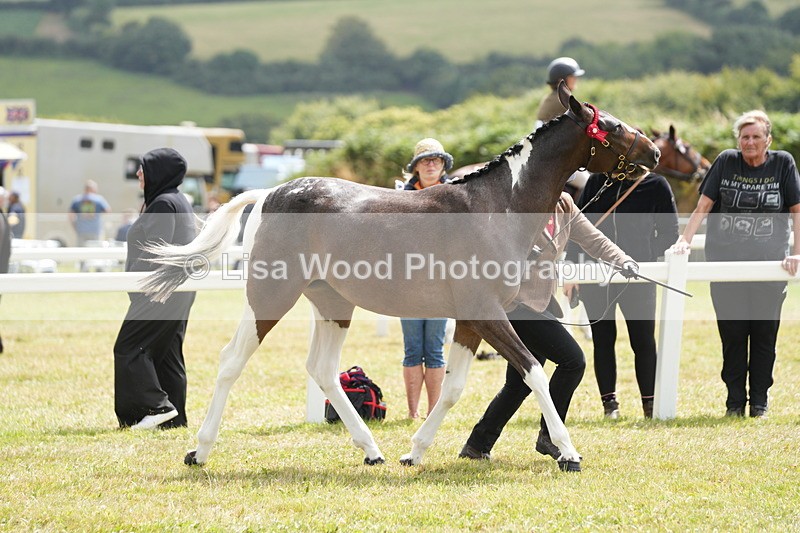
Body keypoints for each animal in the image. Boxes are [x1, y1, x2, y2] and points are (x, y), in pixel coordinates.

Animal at [141, 81, 660, 472]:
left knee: (323, 370)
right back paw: (199, 451)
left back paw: (373, 451)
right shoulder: (489, 313)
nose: (654, 151)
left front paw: (416, 451)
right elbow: (533, 371)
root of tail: (270, 193)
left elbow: (451, 388)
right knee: (232, 362)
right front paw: (569, 453)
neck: (496, 207)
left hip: (333, 304)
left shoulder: (472, 320)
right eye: (611, 126)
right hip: (271, 296)